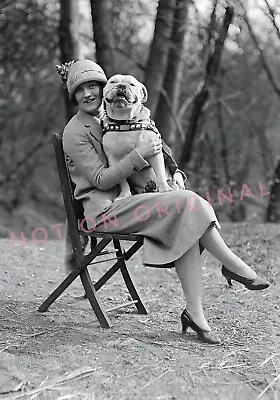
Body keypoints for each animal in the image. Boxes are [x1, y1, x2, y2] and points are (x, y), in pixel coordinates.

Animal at [101, 74, 174, 202]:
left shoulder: (155, 152)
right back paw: (149, 187)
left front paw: (165, 189)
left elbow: (160, 172)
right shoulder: (113, 159)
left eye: (132, 84)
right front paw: (124, 195)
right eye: (113, 82)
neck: (124, 121)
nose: (122, 85)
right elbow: (122, 180)